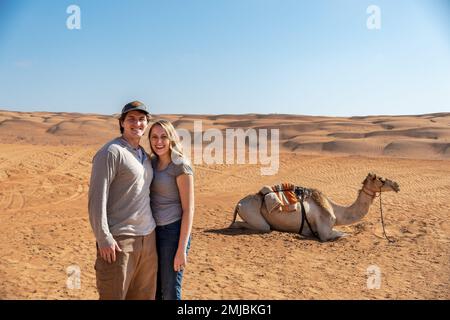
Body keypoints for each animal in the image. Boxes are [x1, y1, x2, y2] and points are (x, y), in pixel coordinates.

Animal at [230, 174, 400, 241]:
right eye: (381, 179)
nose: (397, 185)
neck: (336, 211)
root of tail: (238, 203)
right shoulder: (325, 230)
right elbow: (343, 235)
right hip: (253, 215)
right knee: (256, 226)